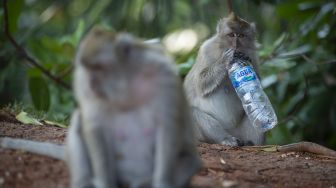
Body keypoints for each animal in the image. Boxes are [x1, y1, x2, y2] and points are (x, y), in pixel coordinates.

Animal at [0, 26, 201, 188]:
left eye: (99, 67)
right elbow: (95, 127)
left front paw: (162, 182)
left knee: (190, 161)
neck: (127, 84)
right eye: (86, 68)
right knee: (79, 122)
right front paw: (104, 183)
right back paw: (84, 182)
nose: (90, 84)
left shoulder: (164, 79)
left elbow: (168, 127)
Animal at [182, 12, 264, 147]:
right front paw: (225, 60)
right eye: (231, 35)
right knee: (192, 112)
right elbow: (200, 83)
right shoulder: (206, 50)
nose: (236, 45)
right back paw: (225, 139)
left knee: (255, 109)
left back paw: (251, 143)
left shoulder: (253, 55)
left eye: (241, 35)